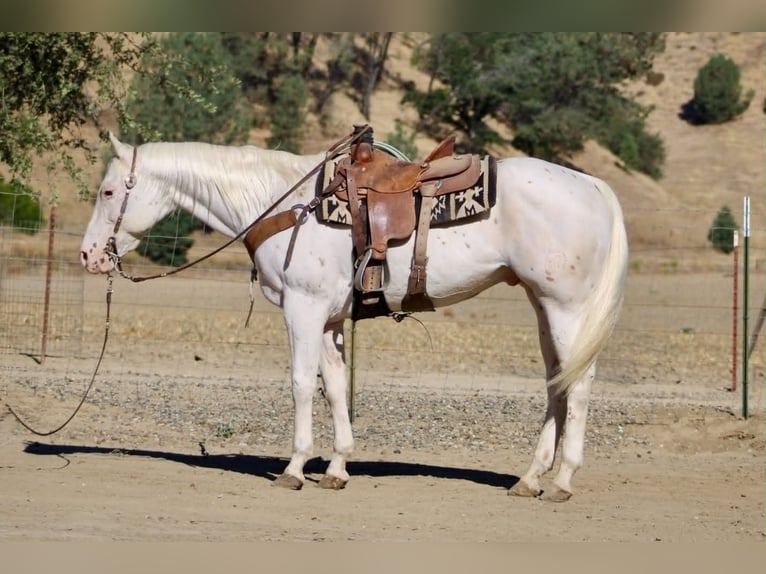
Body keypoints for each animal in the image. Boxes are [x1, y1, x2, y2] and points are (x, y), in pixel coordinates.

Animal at [80, 131, 628, 502]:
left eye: (107, 192)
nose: (89, 255)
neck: (285, 203)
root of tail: (594, 187)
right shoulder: (327, 318)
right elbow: (335, 387)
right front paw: (337, 468)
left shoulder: (302, 309)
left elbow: (302, 385)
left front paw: (295, 469)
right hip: (543, 306)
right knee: (558, 381)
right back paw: (531, 477)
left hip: (566, 308)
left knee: (578, 387)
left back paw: (561, 480)